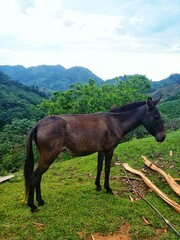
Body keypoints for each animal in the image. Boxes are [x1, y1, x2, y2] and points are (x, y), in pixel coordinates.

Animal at [24, 96, 166, 212]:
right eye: (156, 117)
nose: (162, 137)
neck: (115, 122)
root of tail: (39, 124)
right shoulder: (109, 149)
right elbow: (107, 169)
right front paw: (107, 188)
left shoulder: (101, 150)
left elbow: (99, 167)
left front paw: (98, 186)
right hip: (49, 157)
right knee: (34, 177)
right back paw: (32, 205)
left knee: (38, 177)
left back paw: (40, 201)